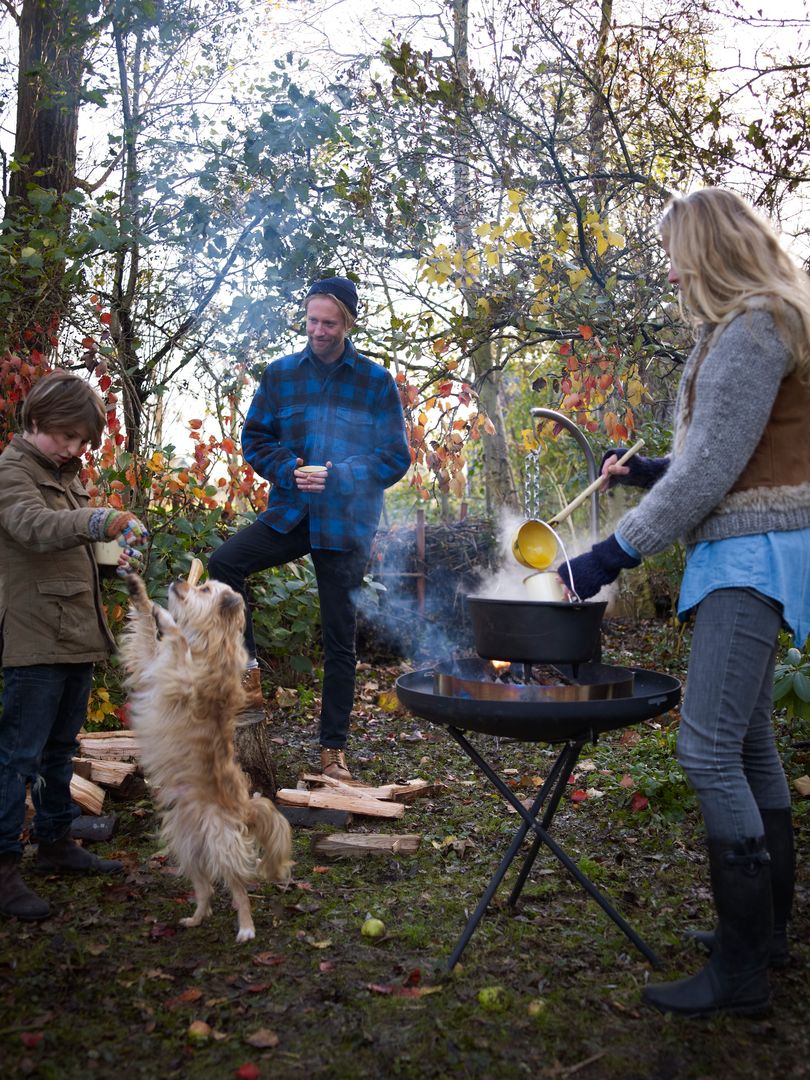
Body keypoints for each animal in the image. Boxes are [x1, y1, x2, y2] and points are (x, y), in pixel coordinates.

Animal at [122, 578, 293, 941]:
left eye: (202, 589)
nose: (177, 580)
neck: (210, 644)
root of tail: (243, 809)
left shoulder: (179, 678)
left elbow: (176, 639)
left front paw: (166, 619)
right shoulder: (150, 665)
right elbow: (145, 634)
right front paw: (139, 594)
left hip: (221, 842)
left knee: (238, 888)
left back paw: (246, 927)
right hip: (187, 845)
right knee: (206, 889)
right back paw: (197, 917)